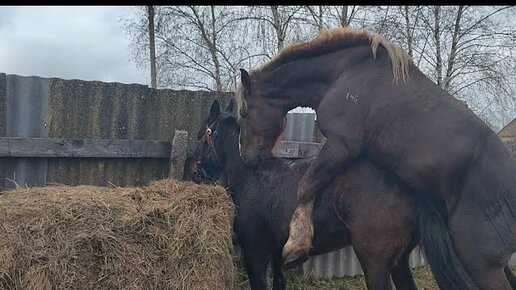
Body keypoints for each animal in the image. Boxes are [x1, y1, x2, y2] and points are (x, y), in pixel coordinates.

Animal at [194, 99, 476, 290]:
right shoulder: (276, 253)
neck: (252, 176)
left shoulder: (255, 252)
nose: (197, 173)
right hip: (398, 262)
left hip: (376, 264)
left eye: (200, 135)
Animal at [235, 27, 516, 290]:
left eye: (244, 111)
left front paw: (296, 245)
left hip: (481, 264)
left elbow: (306, 186)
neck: (344, 74)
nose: (247, 157)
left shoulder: (342, 145)